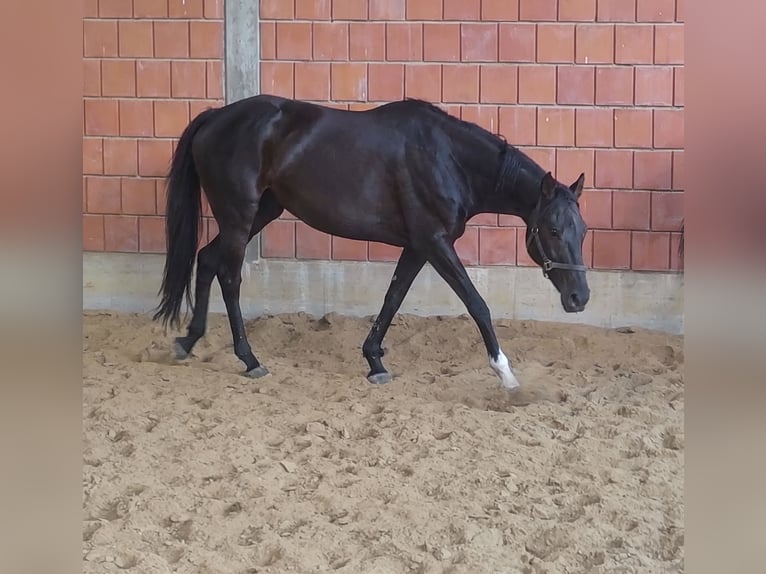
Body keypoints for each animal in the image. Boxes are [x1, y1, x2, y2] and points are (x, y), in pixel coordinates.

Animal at [153, 95, 590, 391]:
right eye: (552, 230)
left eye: (582, 230)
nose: (579, 298)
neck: (447, 158)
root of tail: (215, 117)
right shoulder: (434, 242)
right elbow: (476, 303)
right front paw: (506, 374)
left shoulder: (418, 246)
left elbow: (393, 297)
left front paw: (374, 361)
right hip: (239, 216)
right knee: (229, 277)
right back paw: (248, 358)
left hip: (262, 211)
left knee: (207, 260)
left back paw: (189, 340)